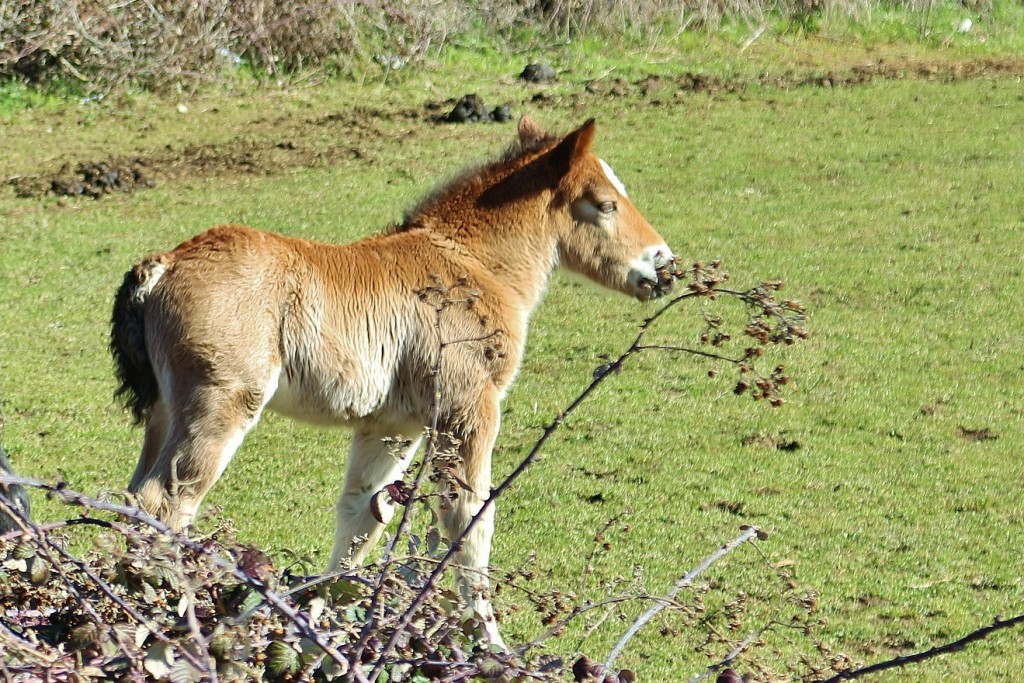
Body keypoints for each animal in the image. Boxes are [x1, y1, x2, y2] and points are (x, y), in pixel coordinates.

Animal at [112, 114, 675, 643]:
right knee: (166, 500)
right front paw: (490, 645)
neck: (472, 264)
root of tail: (163, 265)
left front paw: (323, 630)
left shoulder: (392, 426)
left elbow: (361, 519)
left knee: (134, 496)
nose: (664, 264)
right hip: (221, 404)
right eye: (605, 204)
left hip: (165, 412)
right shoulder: (466, 412)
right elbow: (470, 521)